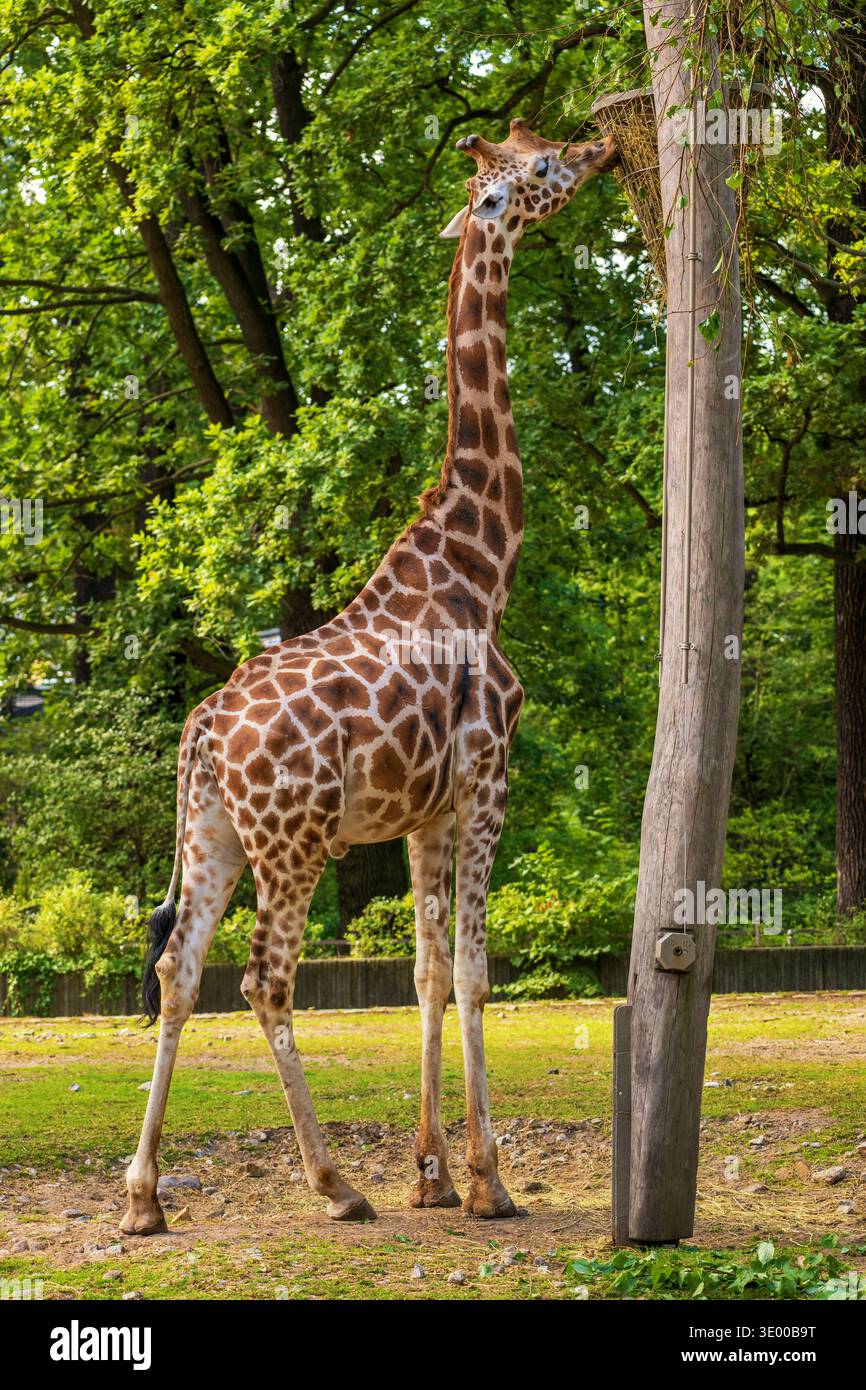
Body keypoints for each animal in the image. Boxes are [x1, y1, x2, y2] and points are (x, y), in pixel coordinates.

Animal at [121, 119, 618, 1236]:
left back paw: (141, 1198)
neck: (479, 567)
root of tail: (201, 734)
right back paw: (333, 1183)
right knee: (264, 979)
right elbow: (474, 971)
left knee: (177, 969)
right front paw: (487, 1182)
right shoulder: (486, 781)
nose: (602, 144)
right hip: (293, 839)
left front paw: (430, 1174)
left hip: (212, 834)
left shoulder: (421, 814)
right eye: (536, 169)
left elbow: (426, 974)